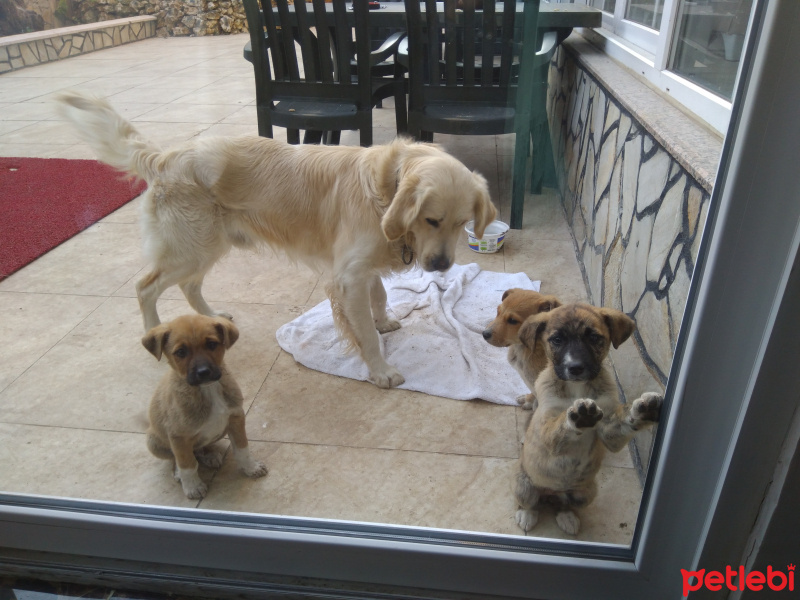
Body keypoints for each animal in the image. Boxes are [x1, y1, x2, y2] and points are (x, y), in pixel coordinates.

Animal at [142, 312, 268, 500]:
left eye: (211, 344)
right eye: (181, 352)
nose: (203, 372)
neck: (208, 390)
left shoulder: (236, 418)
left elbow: (242, 448)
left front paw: (251, 467)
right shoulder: (178, 436)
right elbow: (187, 465)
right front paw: (193, 486)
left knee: (199, 449)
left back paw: (210, 456)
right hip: (154, 441)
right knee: (176, 458)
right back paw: (179, 472)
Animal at [512, 304, 664, 536]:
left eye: (594, 337)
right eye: (557, 339)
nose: (575, 368)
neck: (576, 388)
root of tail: (550, 493)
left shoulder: (609, 429)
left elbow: (623, 421)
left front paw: (643, 409)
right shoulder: (546, 428)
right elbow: (559, 426)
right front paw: (578, 416)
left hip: (585, 493)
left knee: (563, 503)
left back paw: (567, 517)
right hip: (524, 484)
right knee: (530, 502)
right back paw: (527, 515)